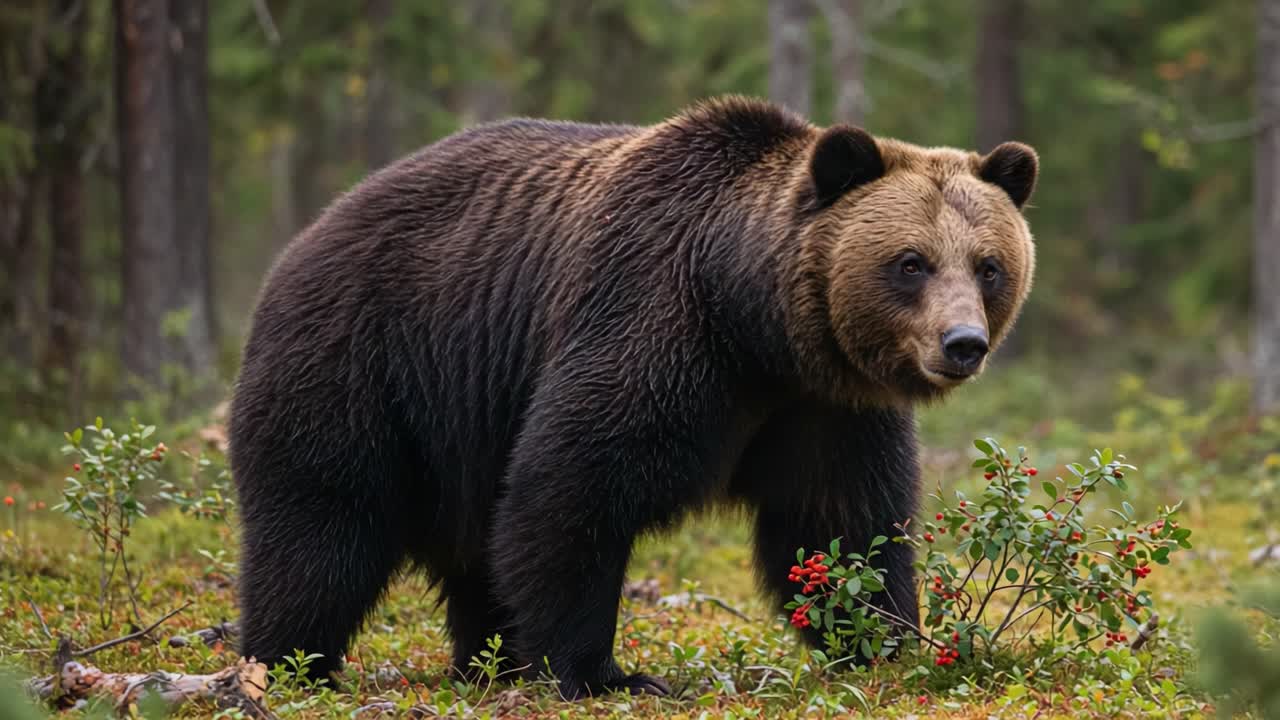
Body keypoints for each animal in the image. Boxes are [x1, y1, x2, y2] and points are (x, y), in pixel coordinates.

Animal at [228, 96, 1037, 699]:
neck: (754, 323)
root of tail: (309, 233)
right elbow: (572, 488)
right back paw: (292, 664)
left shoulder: (823, 408)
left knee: (466, 547)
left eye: (988, 265)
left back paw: (486, 663)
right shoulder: (654, 324)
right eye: (911, 262)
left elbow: (840, 522)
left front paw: (886, 641)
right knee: (322, 526)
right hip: (364, 362)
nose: (962, 343)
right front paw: (601, 672)